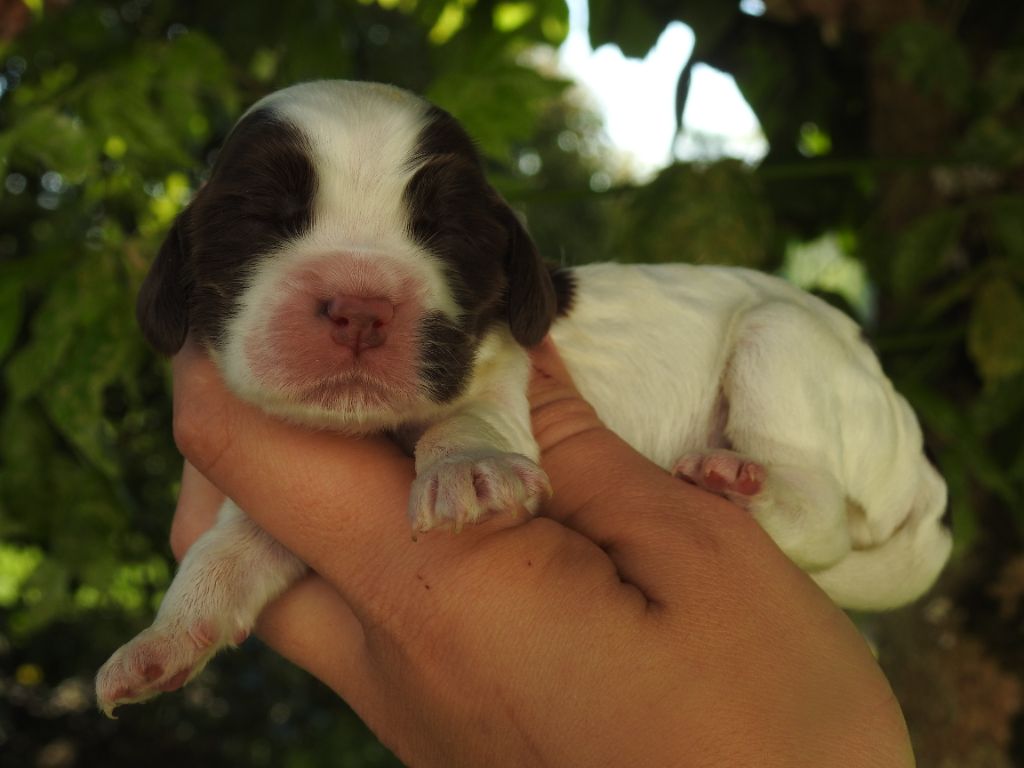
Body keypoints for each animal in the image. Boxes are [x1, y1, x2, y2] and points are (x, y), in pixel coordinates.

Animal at [96, 78, 950, 716]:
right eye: (264, 220)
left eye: (444, 233)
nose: (360, 309)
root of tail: (924, 476)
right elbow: (226, 550)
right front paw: (159, 642)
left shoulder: (502, 374)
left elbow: (468, 420)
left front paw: (468, 470)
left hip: (784, 340)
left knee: (821, 511)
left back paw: (734, 482)